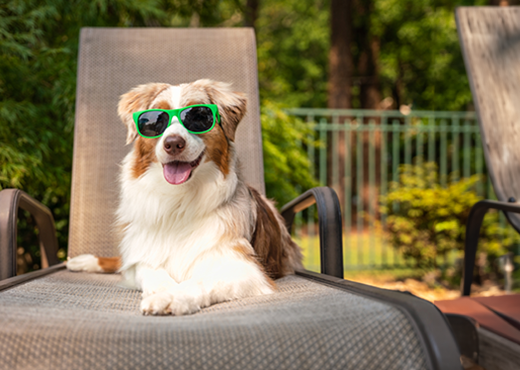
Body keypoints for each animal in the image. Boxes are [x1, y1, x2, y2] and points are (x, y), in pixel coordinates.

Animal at [66, 79, 302, 316]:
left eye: (199, 117)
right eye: (154, 121)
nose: (172, 143)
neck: (178, 200)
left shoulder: (245, 269)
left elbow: (201, 280)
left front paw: (170, 297)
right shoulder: (142, 254)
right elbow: (150, 271)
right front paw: (163, 289)